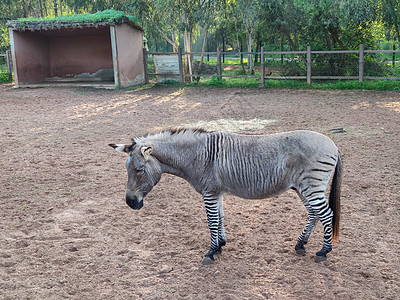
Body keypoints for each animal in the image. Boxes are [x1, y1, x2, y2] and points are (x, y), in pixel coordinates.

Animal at [111, 127, 342, 264]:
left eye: (139, 170)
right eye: (127, 169)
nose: (130, 203)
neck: (196, 156)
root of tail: (333, 144)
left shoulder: (209, 192)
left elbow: (212, 221)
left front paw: (210, 252)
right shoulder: (217, 192)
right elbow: (220, 218)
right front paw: (220, 245)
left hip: (311, 186)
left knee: (327, 215)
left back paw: (324, 251)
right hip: (303, 188)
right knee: (314, 214)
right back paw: (301, 244)